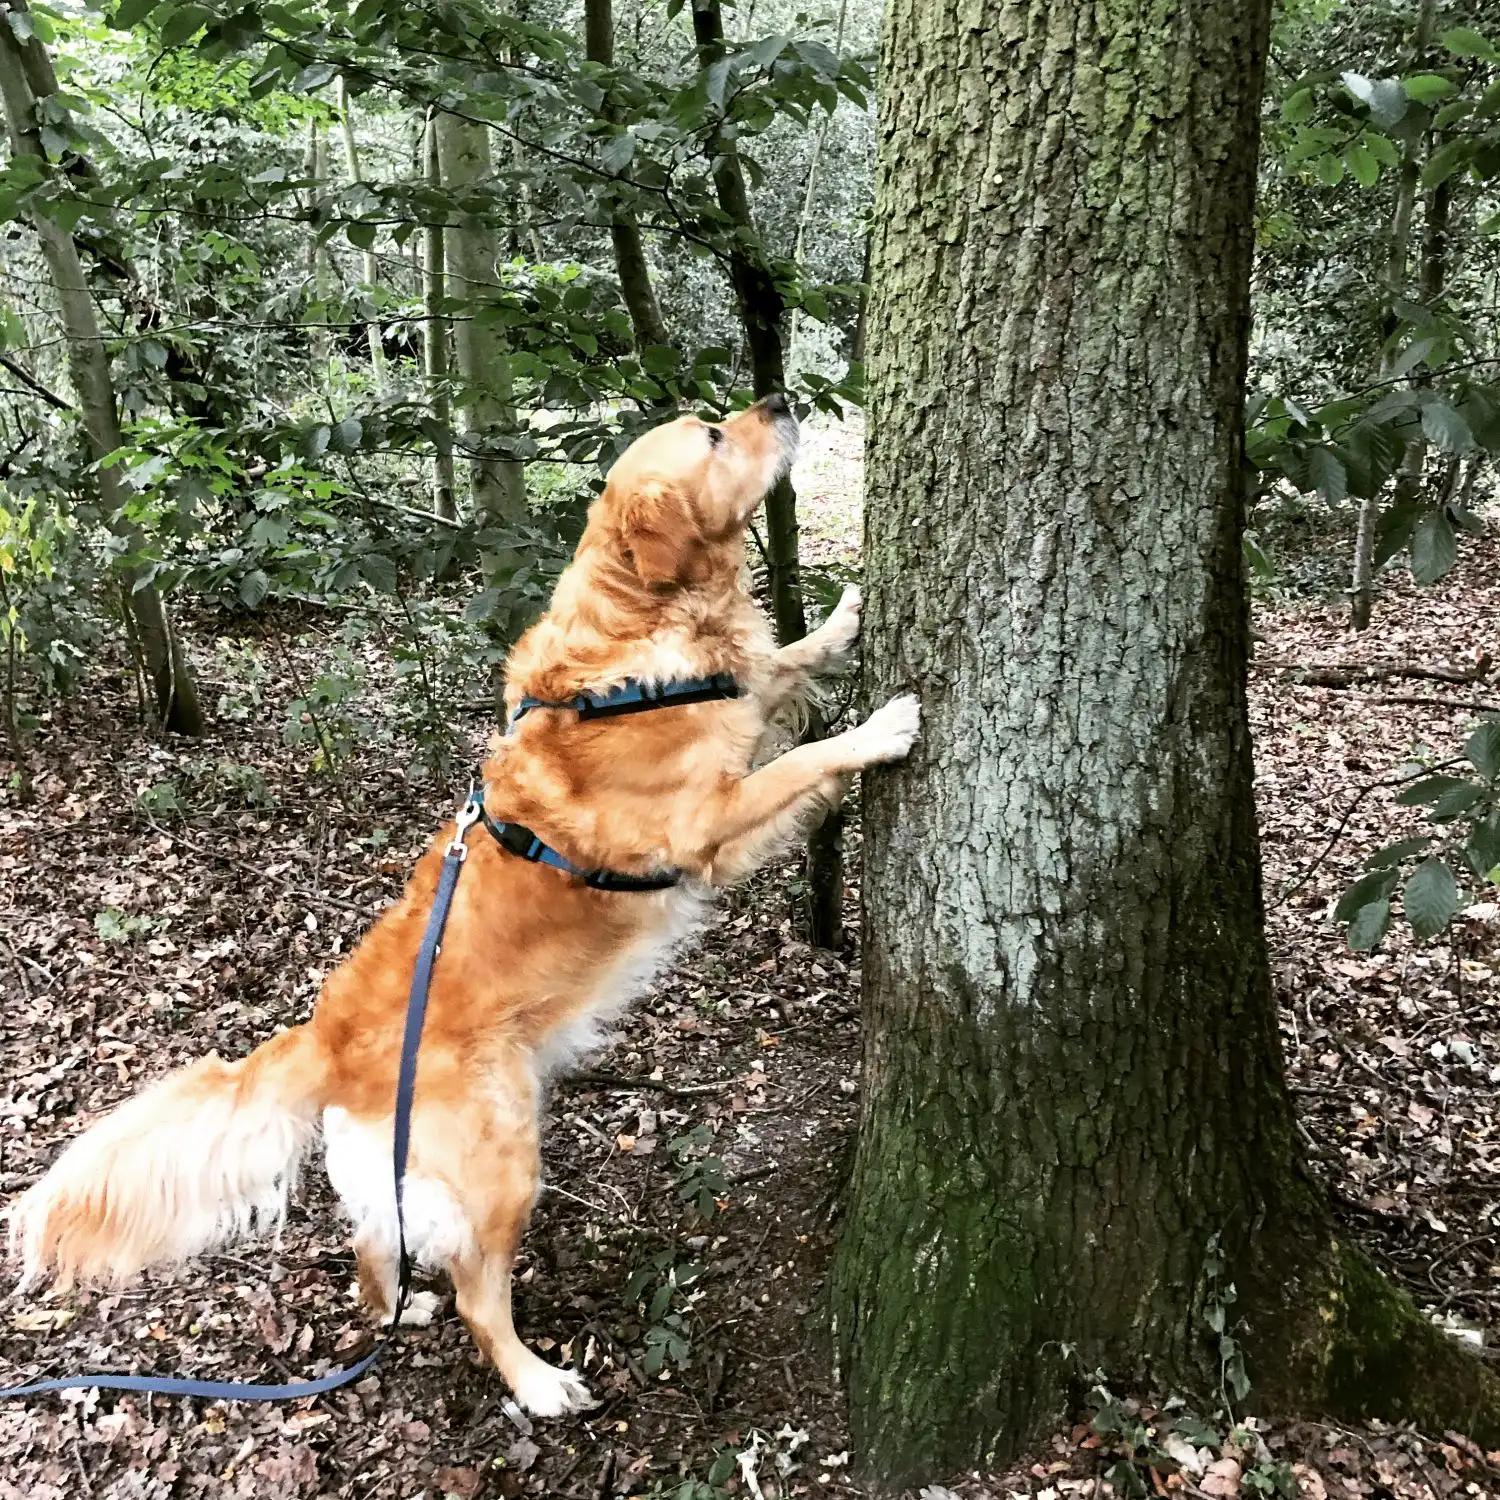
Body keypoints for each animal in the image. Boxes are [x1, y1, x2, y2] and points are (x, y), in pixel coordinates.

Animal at [5, 393, 918, 1410]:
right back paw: (538, 1382)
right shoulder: (705, 822)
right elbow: (804, 758)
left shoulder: (742, 713)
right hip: (504, 1156)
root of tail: (326, 1033)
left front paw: (844, 614)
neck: (633, 636)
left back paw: (400, 1307)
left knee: (374, 1251)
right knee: (481, 1293)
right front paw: (882, 726)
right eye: (715, 437)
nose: (777, 401)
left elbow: (786, 663)